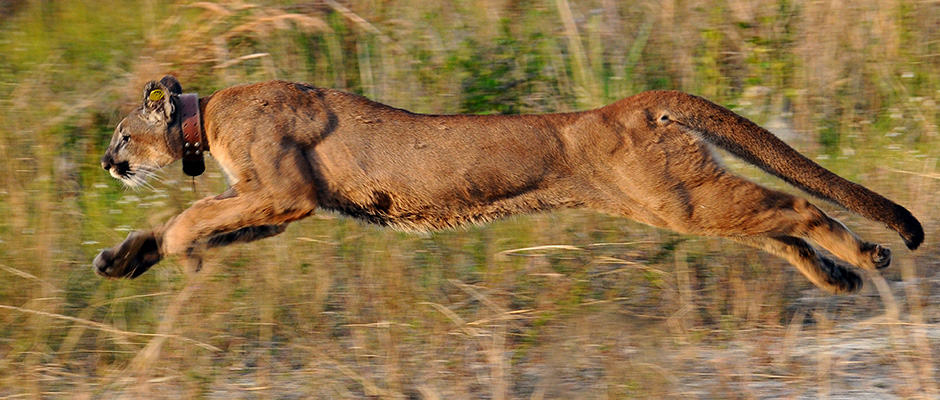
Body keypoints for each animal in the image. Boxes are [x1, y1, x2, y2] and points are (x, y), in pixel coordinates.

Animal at [93, 75, 923, 294]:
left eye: (120, 136)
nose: (106, 162)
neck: (207, 117)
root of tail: (631, 103)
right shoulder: (276, 206)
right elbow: (205, 219)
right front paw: (124, 257)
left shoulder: (283, 193)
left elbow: (196, 215)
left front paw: (173, 250)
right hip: (680, 202)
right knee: (773, 226)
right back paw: (839, 278)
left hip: (675, 197)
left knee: (793, 204)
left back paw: (869, 258)